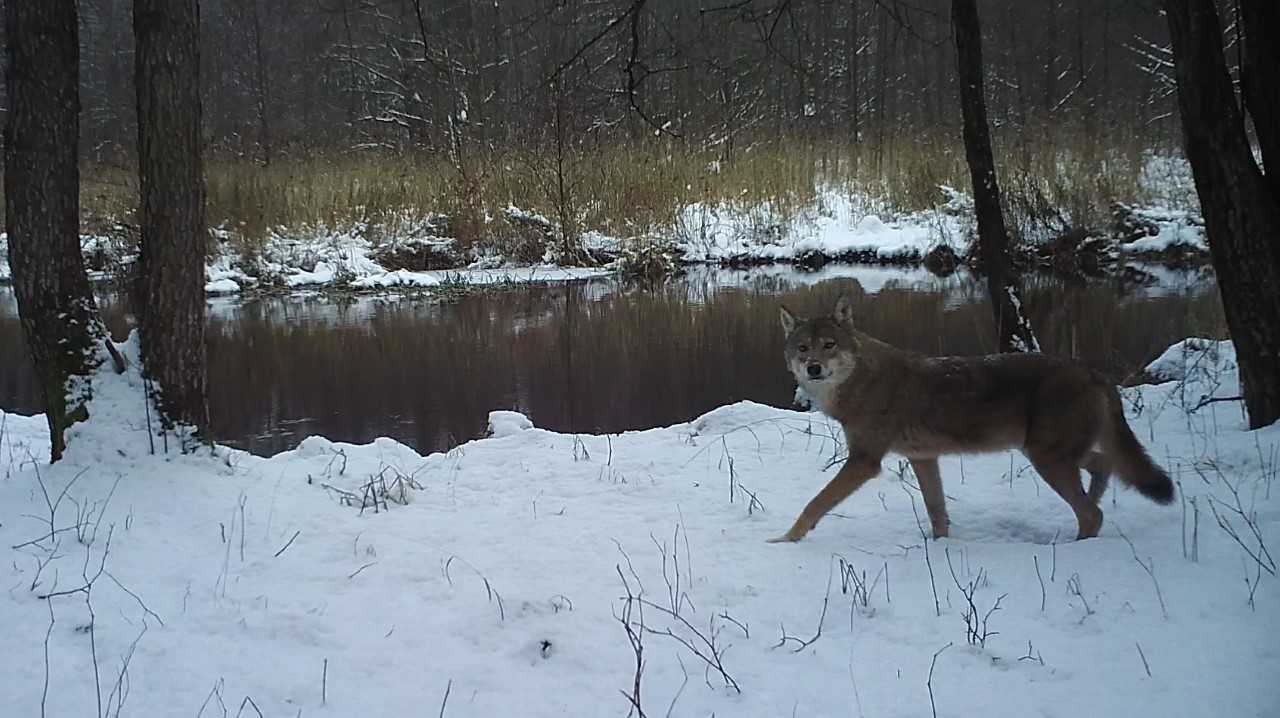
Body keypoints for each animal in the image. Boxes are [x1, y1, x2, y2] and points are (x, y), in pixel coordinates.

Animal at [762, 294, 1172, 540]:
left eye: (829, 345)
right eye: (803, 348)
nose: (813, 368)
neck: (861, 381)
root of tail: (1093, 372)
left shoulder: (864, 461)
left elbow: (815, 503)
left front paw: (785, 540)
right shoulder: (923, 458)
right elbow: (937, 510)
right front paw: (940, 546)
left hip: (1047, 458)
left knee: (1092, 512)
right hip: (1051, 454)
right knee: (1104, 469)